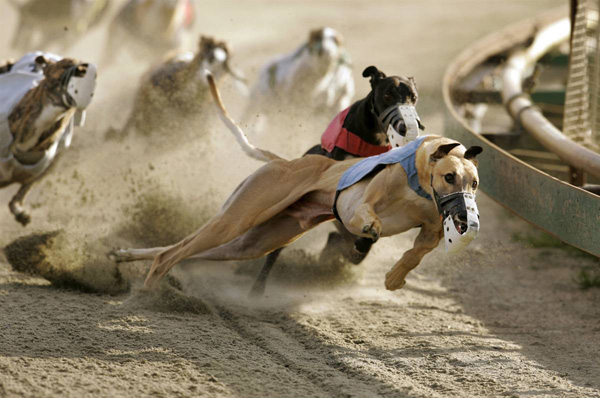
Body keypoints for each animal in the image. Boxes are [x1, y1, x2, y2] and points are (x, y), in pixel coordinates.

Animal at [110, 73, 480, 294]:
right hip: (237, 218)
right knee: (172, 251)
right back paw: (145, 293)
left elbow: (416, 252)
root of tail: (285, 162)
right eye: (449, 176)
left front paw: (395, 276)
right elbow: (365, 215)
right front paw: (370, 230)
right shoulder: (356, 204)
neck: (418, 182)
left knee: (181, 249)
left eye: (474, 183)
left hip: (255, 240)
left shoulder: (430, 229)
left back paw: (123, 256)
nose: (464, 218)